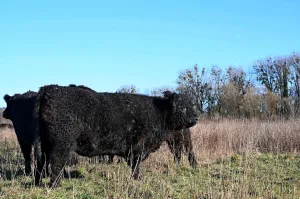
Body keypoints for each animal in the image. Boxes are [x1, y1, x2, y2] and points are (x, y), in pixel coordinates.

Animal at [34, 84, 199, 187]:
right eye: (183, 107)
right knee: (56, 163)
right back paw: (55, 185)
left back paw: (38, 182)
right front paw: (138, 179)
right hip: (60, 143)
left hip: (45, 143)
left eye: (191, 105)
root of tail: (50, 88)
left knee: (41, 162)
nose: (196, 118)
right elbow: (135, 166)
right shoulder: (138, 148)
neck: (158, 113)